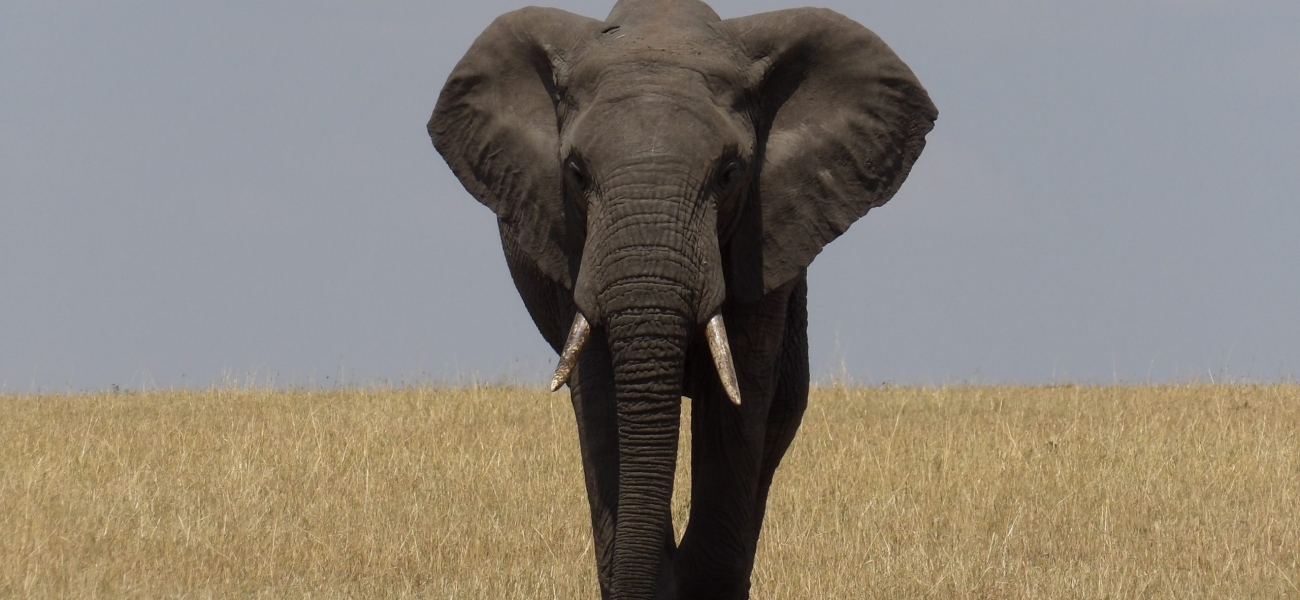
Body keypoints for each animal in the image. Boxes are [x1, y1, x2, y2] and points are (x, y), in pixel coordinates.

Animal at [427, 0, 935, 597]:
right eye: (574, 172)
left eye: (730, 173)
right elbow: (601, 399)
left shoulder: (761, 239)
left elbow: (738, 400)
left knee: (780, 417)